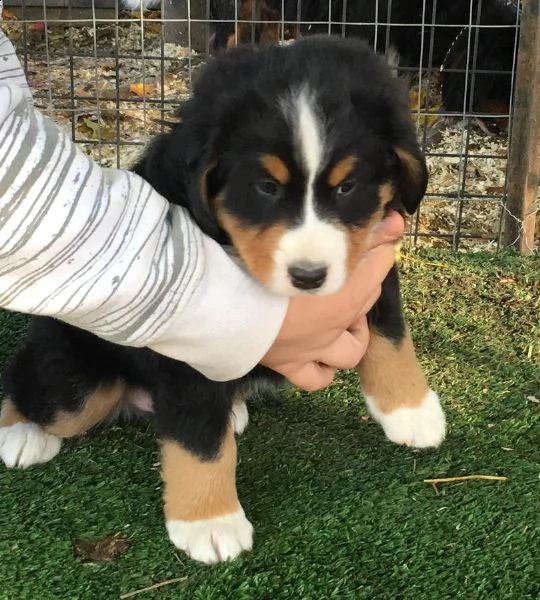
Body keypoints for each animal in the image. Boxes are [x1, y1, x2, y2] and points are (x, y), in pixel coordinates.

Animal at [1, 36, 448, 564]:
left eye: (347, 186)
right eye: (265, 186)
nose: (309, 276)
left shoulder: (371, 260)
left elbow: (391, 335)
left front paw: (411, 410)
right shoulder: (188, 344)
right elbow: (198, 436)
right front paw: (209, 522)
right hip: (77, 384)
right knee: (28, 384)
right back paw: (21, 434)